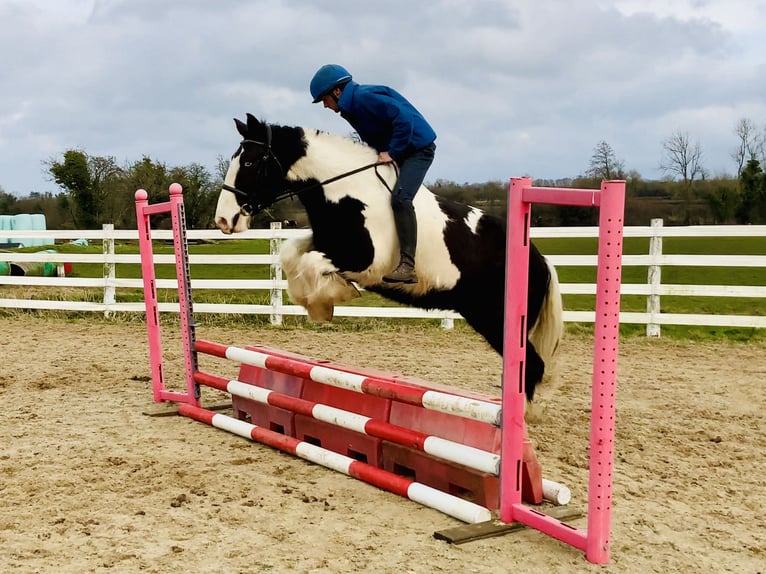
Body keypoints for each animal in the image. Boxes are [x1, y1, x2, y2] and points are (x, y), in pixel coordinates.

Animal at [216, 111, 564, 400]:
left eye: (249, 163)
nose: (223, 220)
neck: (345, 192)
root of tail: (541, 262)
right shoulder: (327, 243)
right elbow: (291, 255)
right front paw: (317, 305)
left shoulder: (364, 262)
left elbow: (314, 264)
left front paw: (332, 298)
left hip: (499, 322)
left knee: (532, 368)